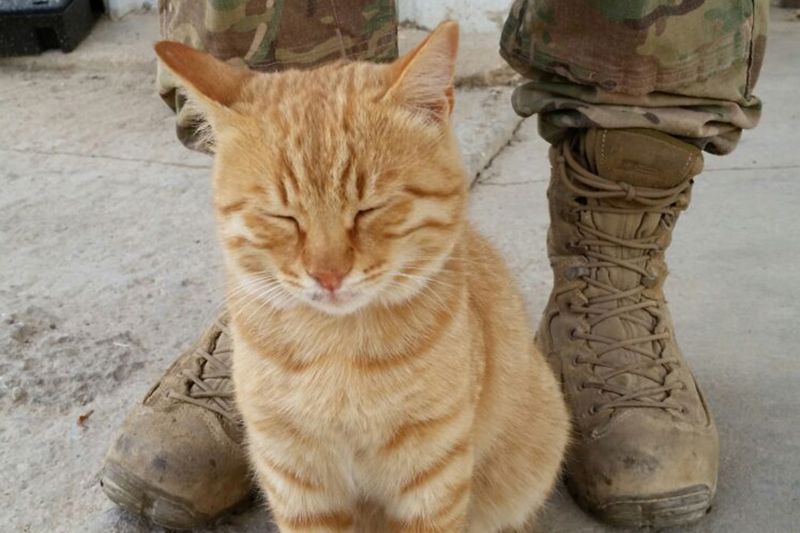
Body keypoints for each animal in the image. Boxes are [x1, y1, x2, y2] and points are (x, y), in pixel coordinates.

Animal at [156, 21, 568, 532]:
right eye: (282, 217)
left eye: (370, 209)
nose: (328, 275)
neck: (337, 353)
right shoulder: (294, 475)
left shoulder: (433, 474)